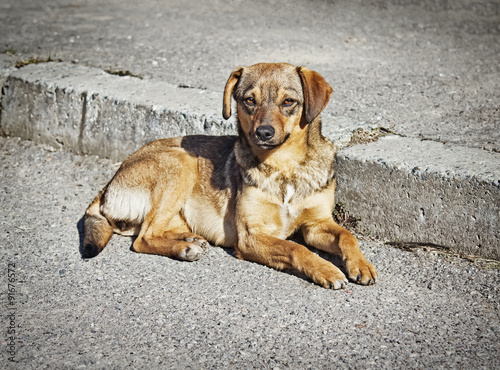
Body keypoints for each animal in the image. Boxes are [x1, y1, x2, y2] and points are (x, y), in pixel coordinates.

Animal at [82, 62, 376, 290]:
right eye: (249, 100)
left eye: (288, 102)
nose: (263, 133)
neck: (284, 167)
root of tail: (107, 187)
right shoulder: (251, 236)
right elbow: (296, 248)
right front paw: (326, 269)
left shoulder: (316, 225)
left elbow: (348, 236)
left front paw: (361, 264)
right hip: (181, 161)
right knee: (142, 238)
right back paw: (183, 249)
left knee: (152, 230)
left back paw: (188, 239)